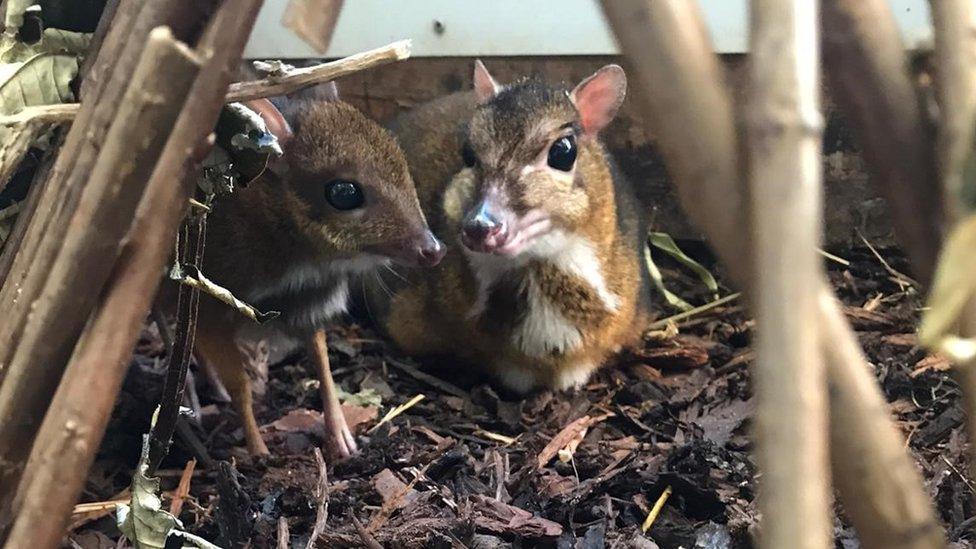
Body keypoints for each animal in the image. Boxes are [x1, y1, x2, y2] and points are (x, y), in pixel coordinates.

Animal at [191, 80, 442, 458]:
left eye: (400, 161)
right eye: (344, 192)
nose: (432, 250)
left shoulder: (311, 304)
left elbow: (324, 365)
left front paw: (341, 437)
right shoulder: (212, 306)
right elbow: (240, 387)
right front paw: (257, 451)